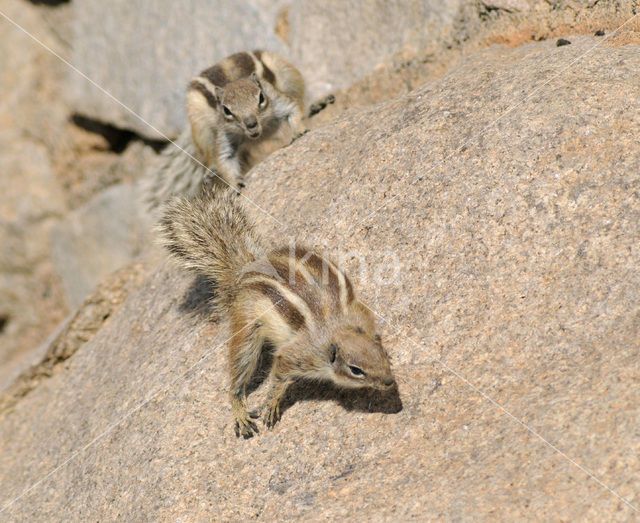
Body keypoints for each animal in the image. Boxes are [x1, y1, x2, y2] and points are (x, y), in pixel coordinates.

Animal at [144, 50, 308, 212]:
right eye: (226, 110)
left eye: (261, 97)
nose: (251, 124)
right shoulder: (224, 133)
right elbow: (225, 157)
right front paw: (234, 183)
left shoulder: (276, 100)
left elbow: (294, 108)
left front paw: (299, 131)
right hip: (198, 120)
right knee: (208, 151)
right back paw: (212, 170)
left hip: (286, 72)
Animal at [160, 188, 396, 438]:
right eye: (356, 370)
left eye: (383, 353)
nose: (389, 381)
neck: (338, 329)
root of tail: (244, 272)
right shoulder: (299, 356)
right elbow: (279, 376)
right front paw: (271, 404)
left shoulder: (362, 316)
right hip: (247, 327)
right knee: (237, 372)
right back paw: (240, 411)